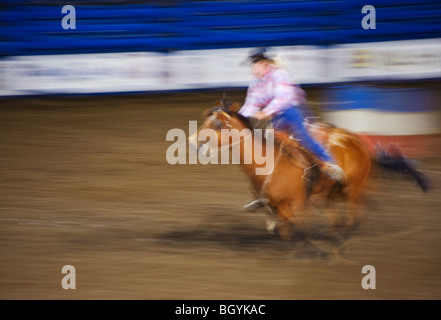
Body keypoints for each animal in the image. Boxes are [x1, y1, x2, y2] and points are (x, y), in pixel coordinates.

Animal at [190, 100, 430, 240]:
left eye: (218, 124)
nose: (192, 141)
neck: (267, 164)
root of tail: (359, 141)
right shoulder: (275, 208)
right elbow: (279, 229)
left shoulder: (293, 205)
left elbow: (290, 230)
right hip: (333, 193)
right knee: (344, 214)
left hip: (352, 189)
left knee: (354, 213)